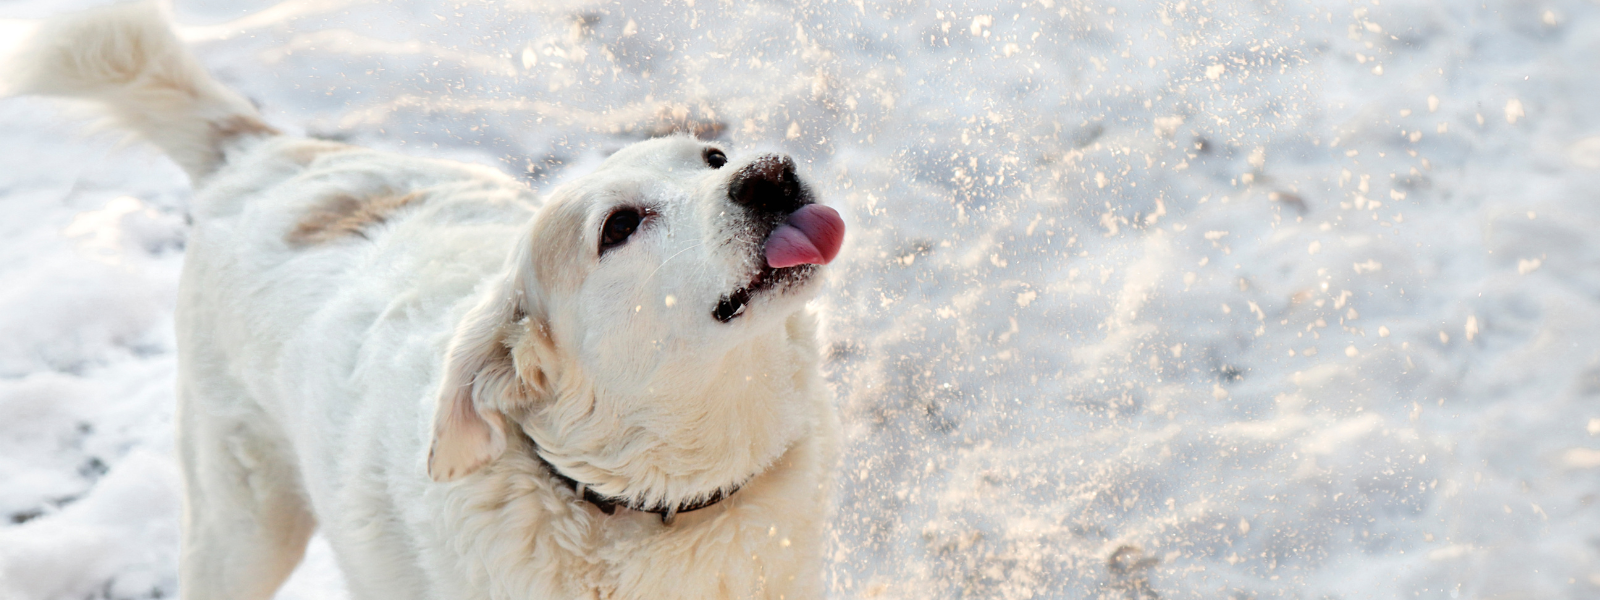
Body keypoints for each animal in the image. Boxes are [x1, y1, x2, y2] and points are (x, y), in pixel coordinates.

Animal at [6, 2, 844, 598]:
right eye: (620, 225)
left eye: (713, 156)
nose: (769, 175)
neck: (649, 504)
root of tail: (259, 150)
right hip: (239, 530)